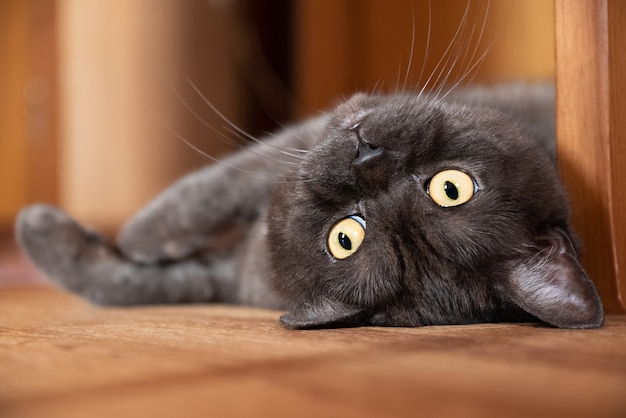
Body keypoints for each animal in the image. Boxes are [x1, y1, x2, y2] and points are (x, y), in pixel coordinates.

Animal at [14, 82, 604, 330]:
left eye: (346, 239)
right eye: (452, 188)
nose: (368, 157)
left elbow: (217, 188)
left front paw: (134, 235)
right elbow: (127, 282)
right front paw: (53, 237)